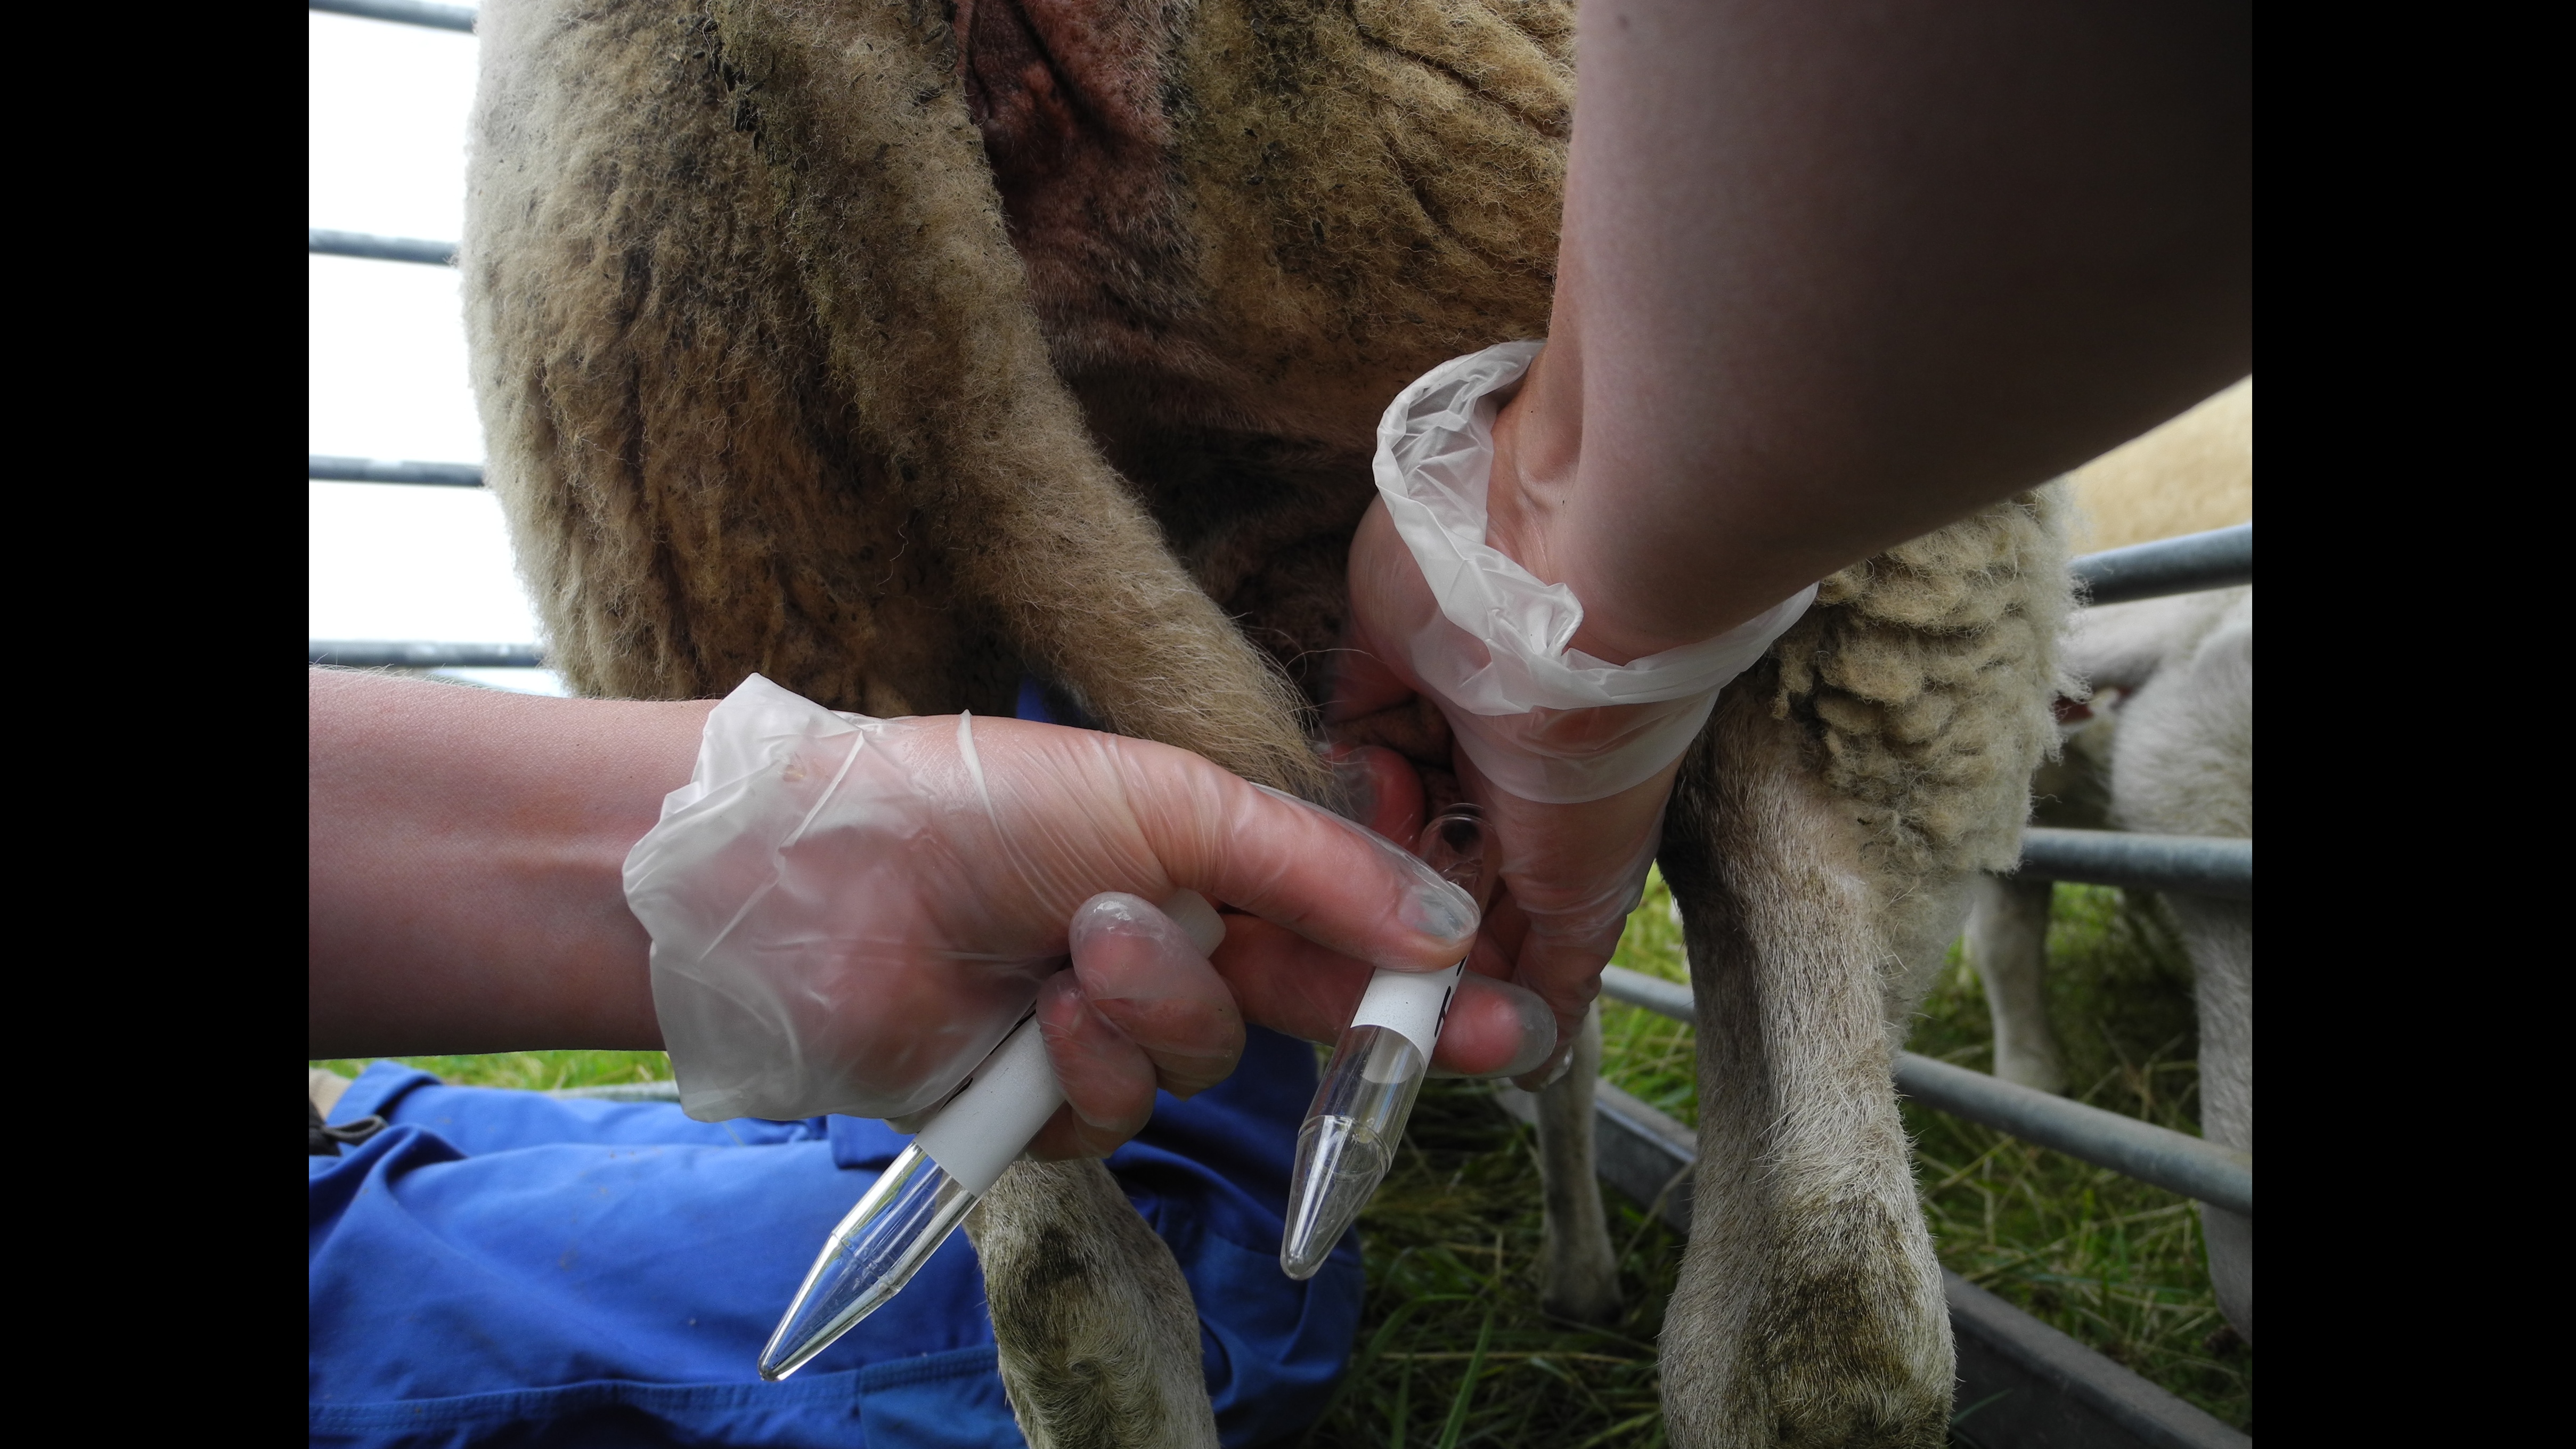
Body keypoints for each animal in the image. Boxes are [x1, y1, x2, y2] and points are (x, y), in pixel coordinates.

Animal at [463, 5, 2071, 1433]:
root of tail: (791, 28)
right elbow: (1573, 1059)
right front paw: (1575, 1267)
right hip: (1816, 542)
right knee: (1822, 1317)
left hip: (774, 605)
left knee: (1061, 1297)